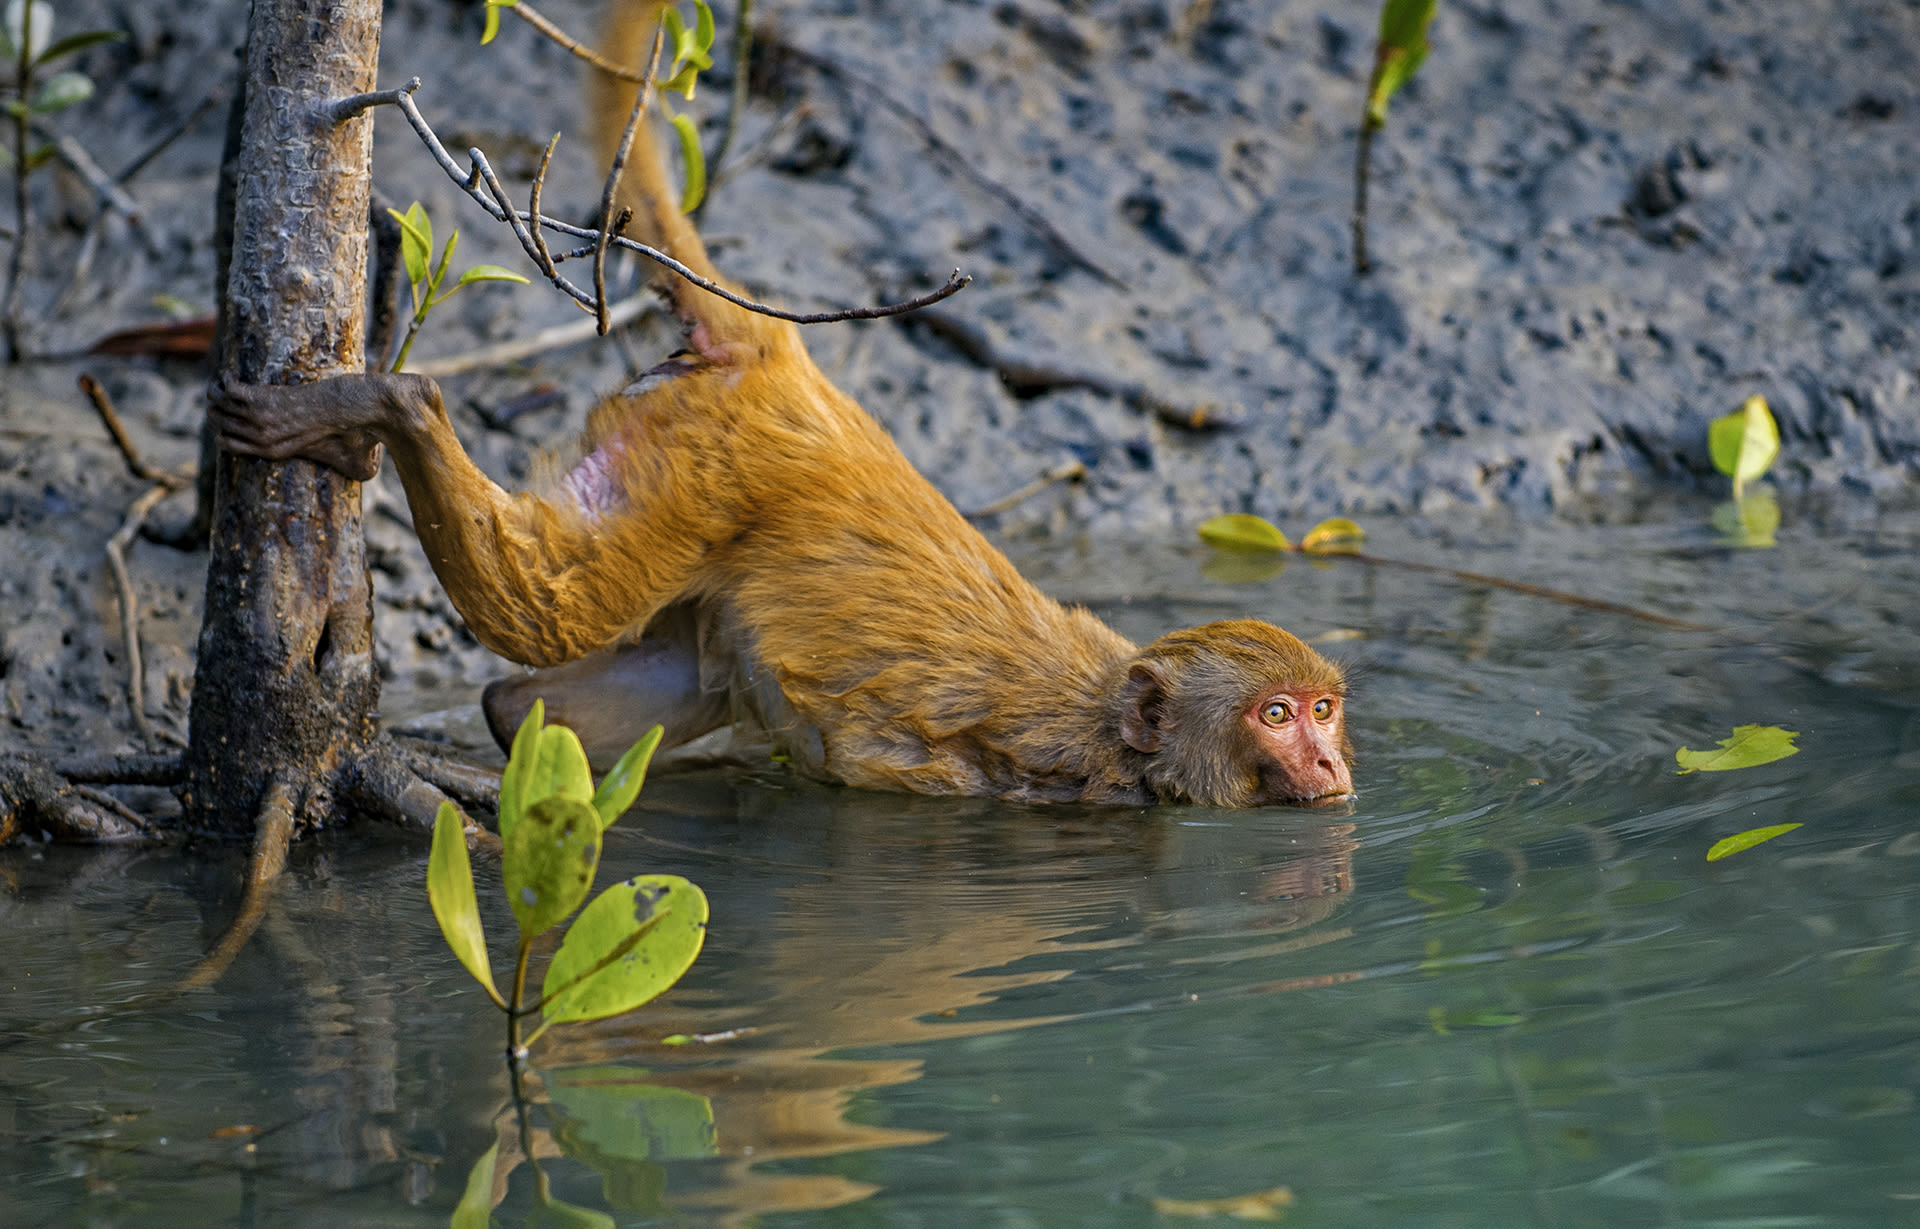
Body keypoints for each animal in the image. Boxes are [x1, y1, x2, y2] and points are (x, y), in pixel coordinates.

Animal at [207, 3, 1353, 808]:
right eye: (1278, 714)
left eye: (1327, 710)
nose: (1335, 765)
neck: (1118, 726)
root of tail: (784, 357)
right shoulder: (1057, 779)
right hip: (704, 466)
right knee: (545, 608)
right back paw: (396, 403)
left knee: (558, 702)